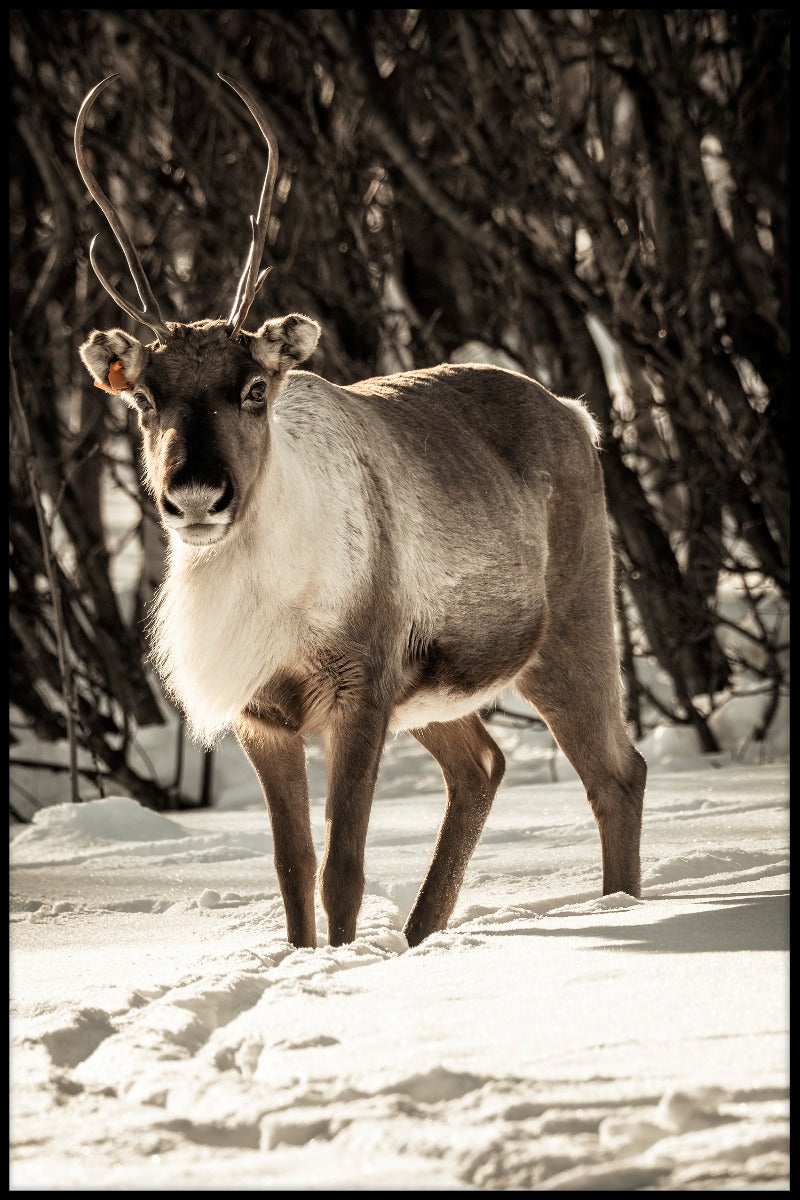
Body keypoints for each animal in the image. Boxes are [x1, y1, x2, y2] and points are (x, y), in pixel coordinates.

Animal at [75, 74, 646, 950]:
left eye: (253, 388)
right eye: (143, 399)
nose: (196, 495)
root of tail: (578, 415)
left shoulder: (362, 685)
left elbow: (342, 869)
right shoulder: (263, 715)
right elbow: (292, 872)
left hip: (572, 626)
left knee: (616, 772)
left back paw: (622, 908)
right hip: (437, 691)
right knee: (483, 764)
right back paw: (420, 935)